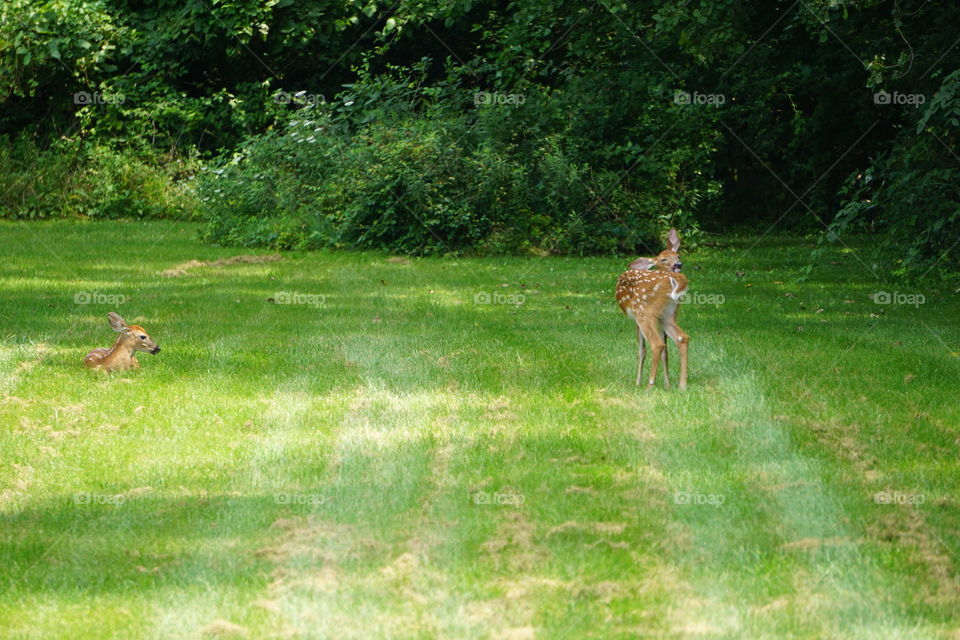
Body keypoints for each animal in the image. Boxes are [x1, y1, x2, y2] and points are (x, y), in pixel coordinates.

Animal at [615, 228, 690, 390]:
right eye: (663, 259)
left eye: (678, 255)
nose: (678, 264)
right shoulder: (661, 319)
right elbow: (666, 352)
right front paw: (667, 384)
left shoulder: (637, 320)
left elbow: (641, 350)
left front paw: (637, 382)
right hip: (668, 314)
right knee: (682, 338)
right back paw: (682, 385)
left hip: (643, 311)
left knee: (657, 345)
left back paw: (649, 385)